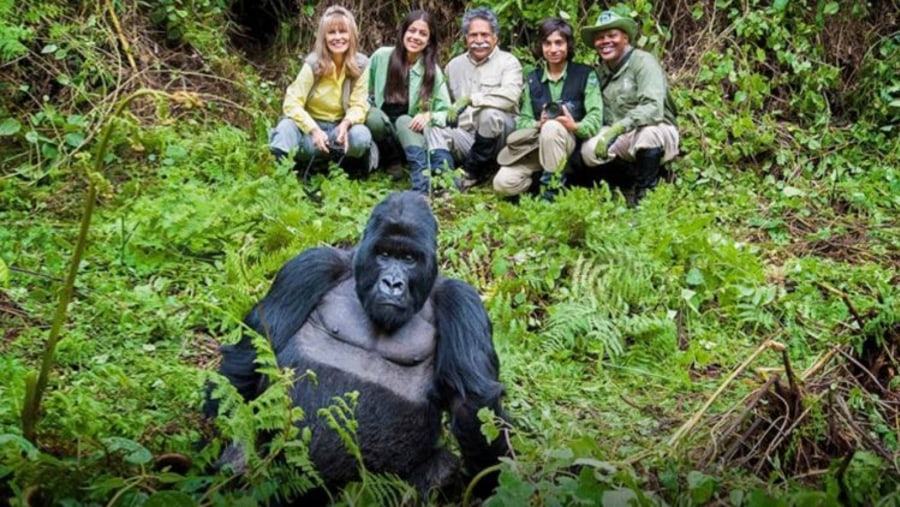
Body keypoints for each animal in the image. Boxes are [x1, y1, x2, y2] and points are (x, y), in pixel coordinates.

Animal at [206, 192, 512, 502]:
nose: (392, 283)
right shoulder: (311, 266)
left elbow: (472, 404)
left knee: (441, 466)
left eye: (409, 259)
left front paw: (491, 488)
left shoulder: (462, 301)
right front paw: (221, 442)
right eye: (384, 254)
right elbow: (256, 348)